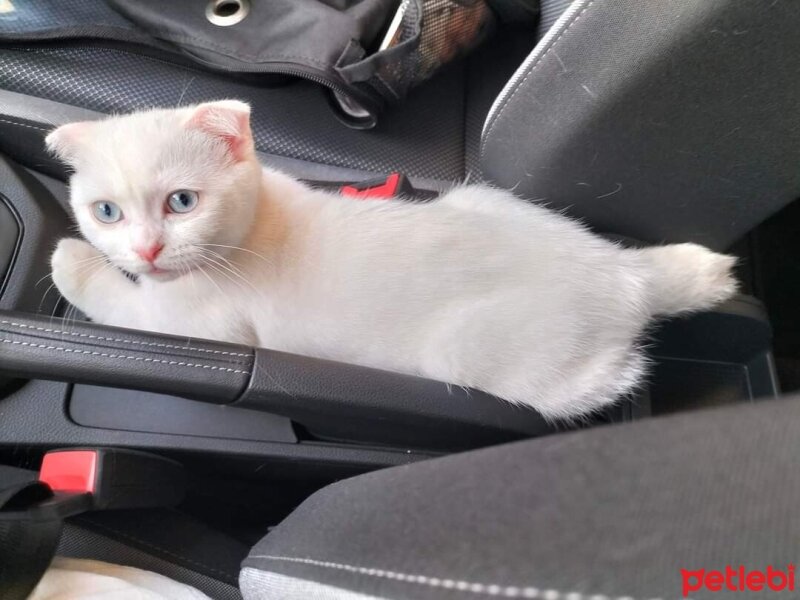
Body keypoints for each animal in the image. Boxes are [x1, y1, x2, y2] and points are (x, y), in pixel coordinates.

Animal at [45, 101, 736, 420]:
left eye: (182, 202)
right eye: (107, 211)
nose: (146, 249)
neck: (257, 221)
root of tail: (623, 271)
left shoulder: (197, 328)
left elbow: (119, 301)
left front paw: (67, 259)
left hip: (481, 353)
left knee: (616, 374)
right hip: (481, 196)